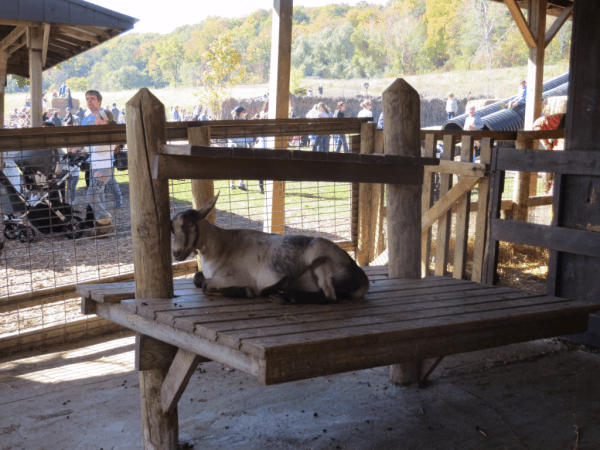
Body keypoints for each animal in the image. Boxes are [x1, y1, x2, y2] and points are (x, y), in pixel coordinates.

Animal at [168, 194, 366, 304]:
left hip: (321, 261)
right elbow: (197, 278)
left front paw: (246, 292)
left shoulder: (237, 277)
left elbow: (205, 285)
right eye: (172, 229)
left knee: (330, 296)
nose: (176, 253)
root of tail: (362, 278)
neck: (221, 248)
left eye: (191, 225)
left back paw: (282, 296)